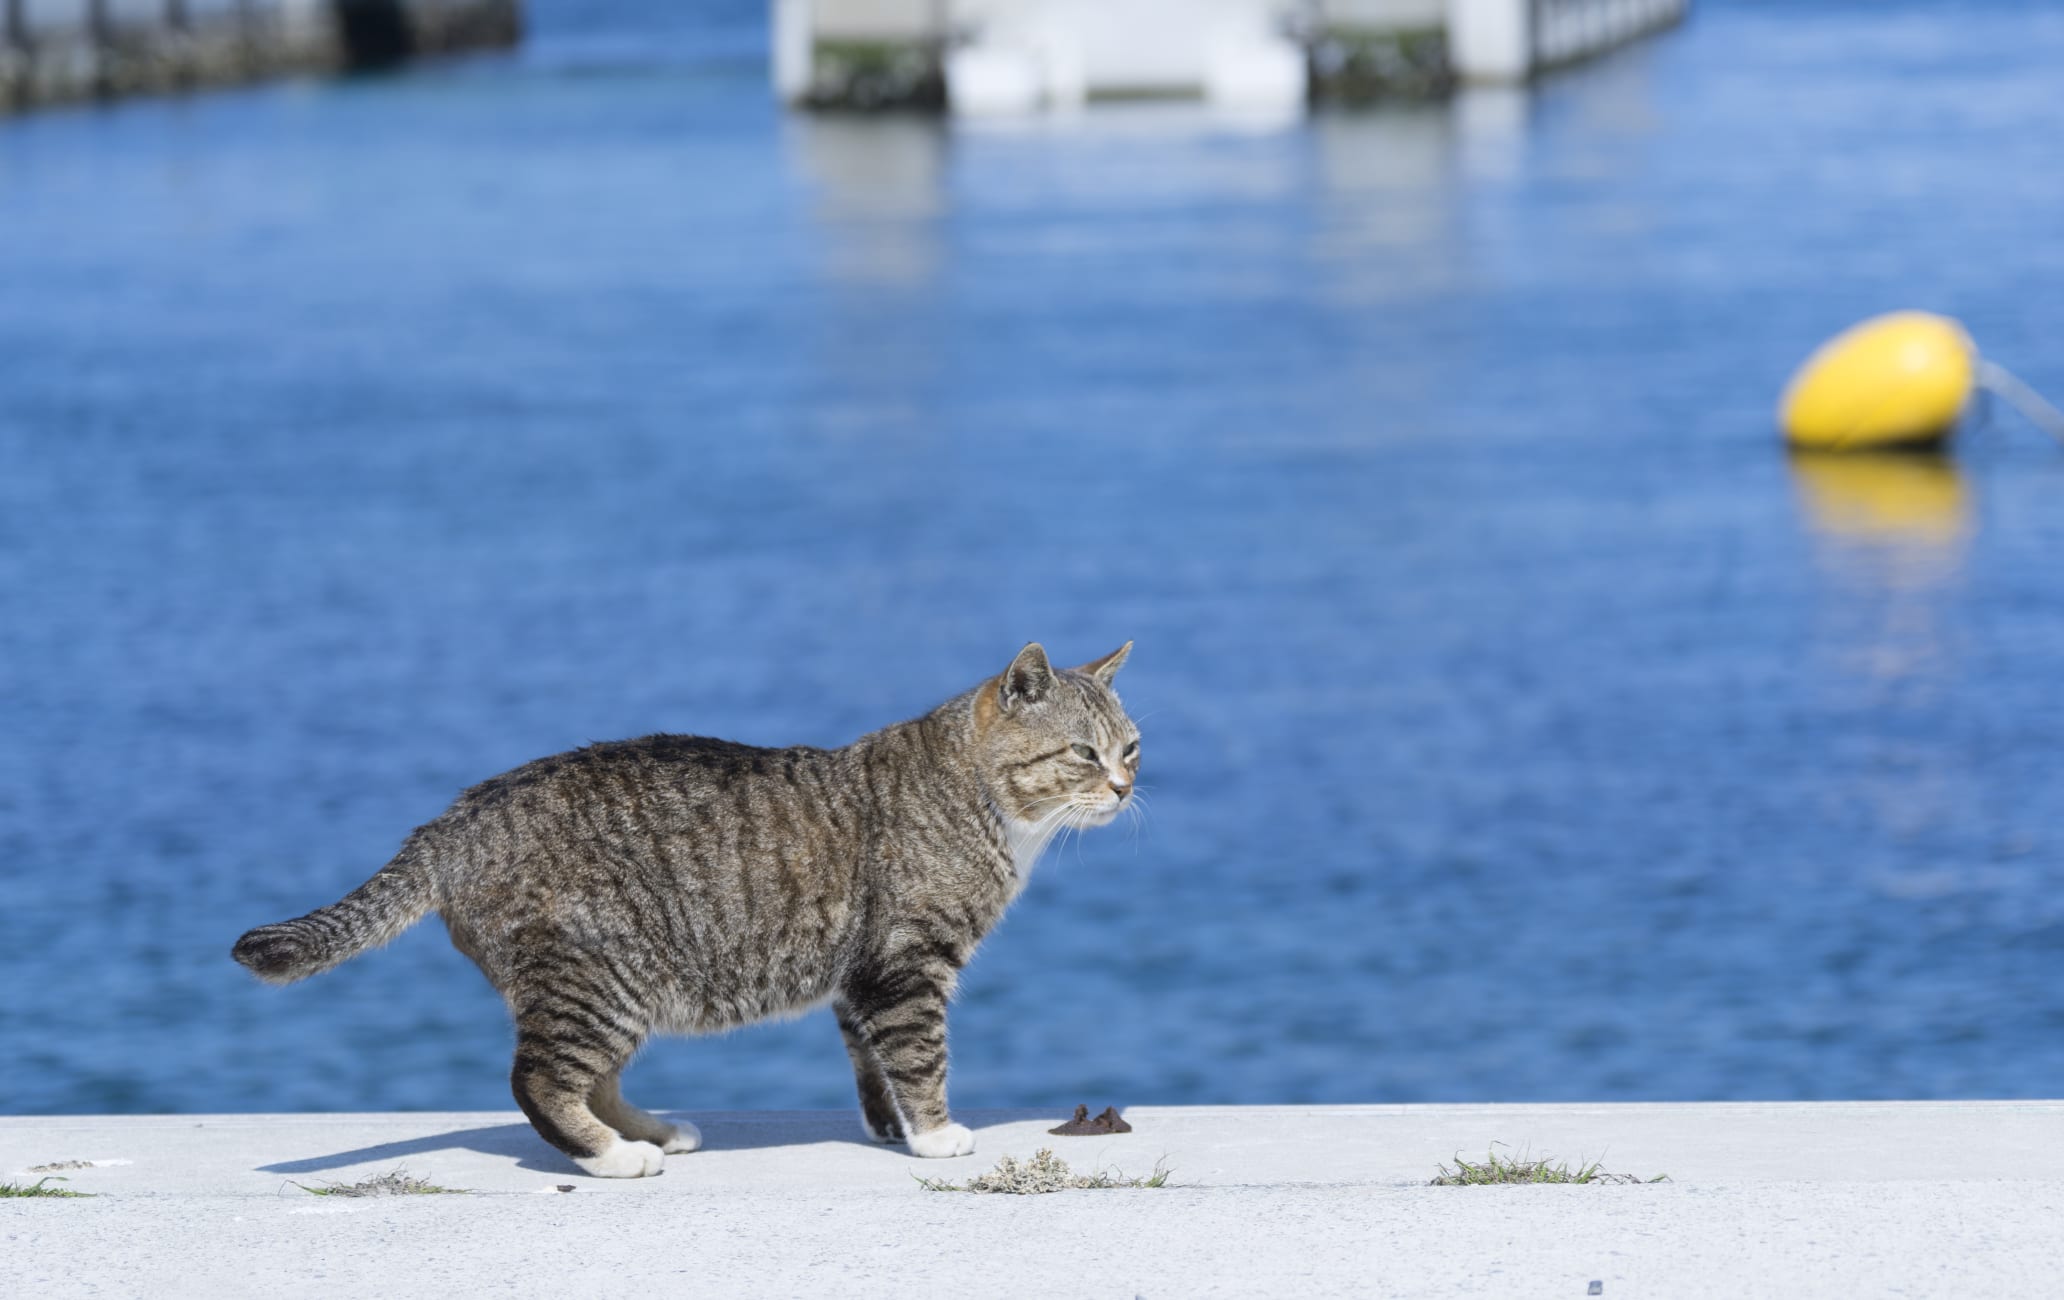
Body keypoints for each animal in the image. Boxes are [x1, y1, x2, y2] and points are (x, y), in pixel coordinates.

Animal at [241, 643, 1147, 1180]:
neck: (982, 802)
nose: (1124, 787)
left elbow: (870, 1061)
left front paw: (889, 1127)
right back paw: (611, 1157)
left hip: (613, 988)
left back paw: (649, 1131)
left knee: (591, 1076)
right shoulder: (906, 964)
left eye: (1131, 748)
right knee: (539, 1078)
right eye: (1082, 753)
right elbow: (921, 1058)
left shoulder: (861, 977)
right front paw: (934, 1134)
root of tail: (452, 820)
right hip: (599, 977)